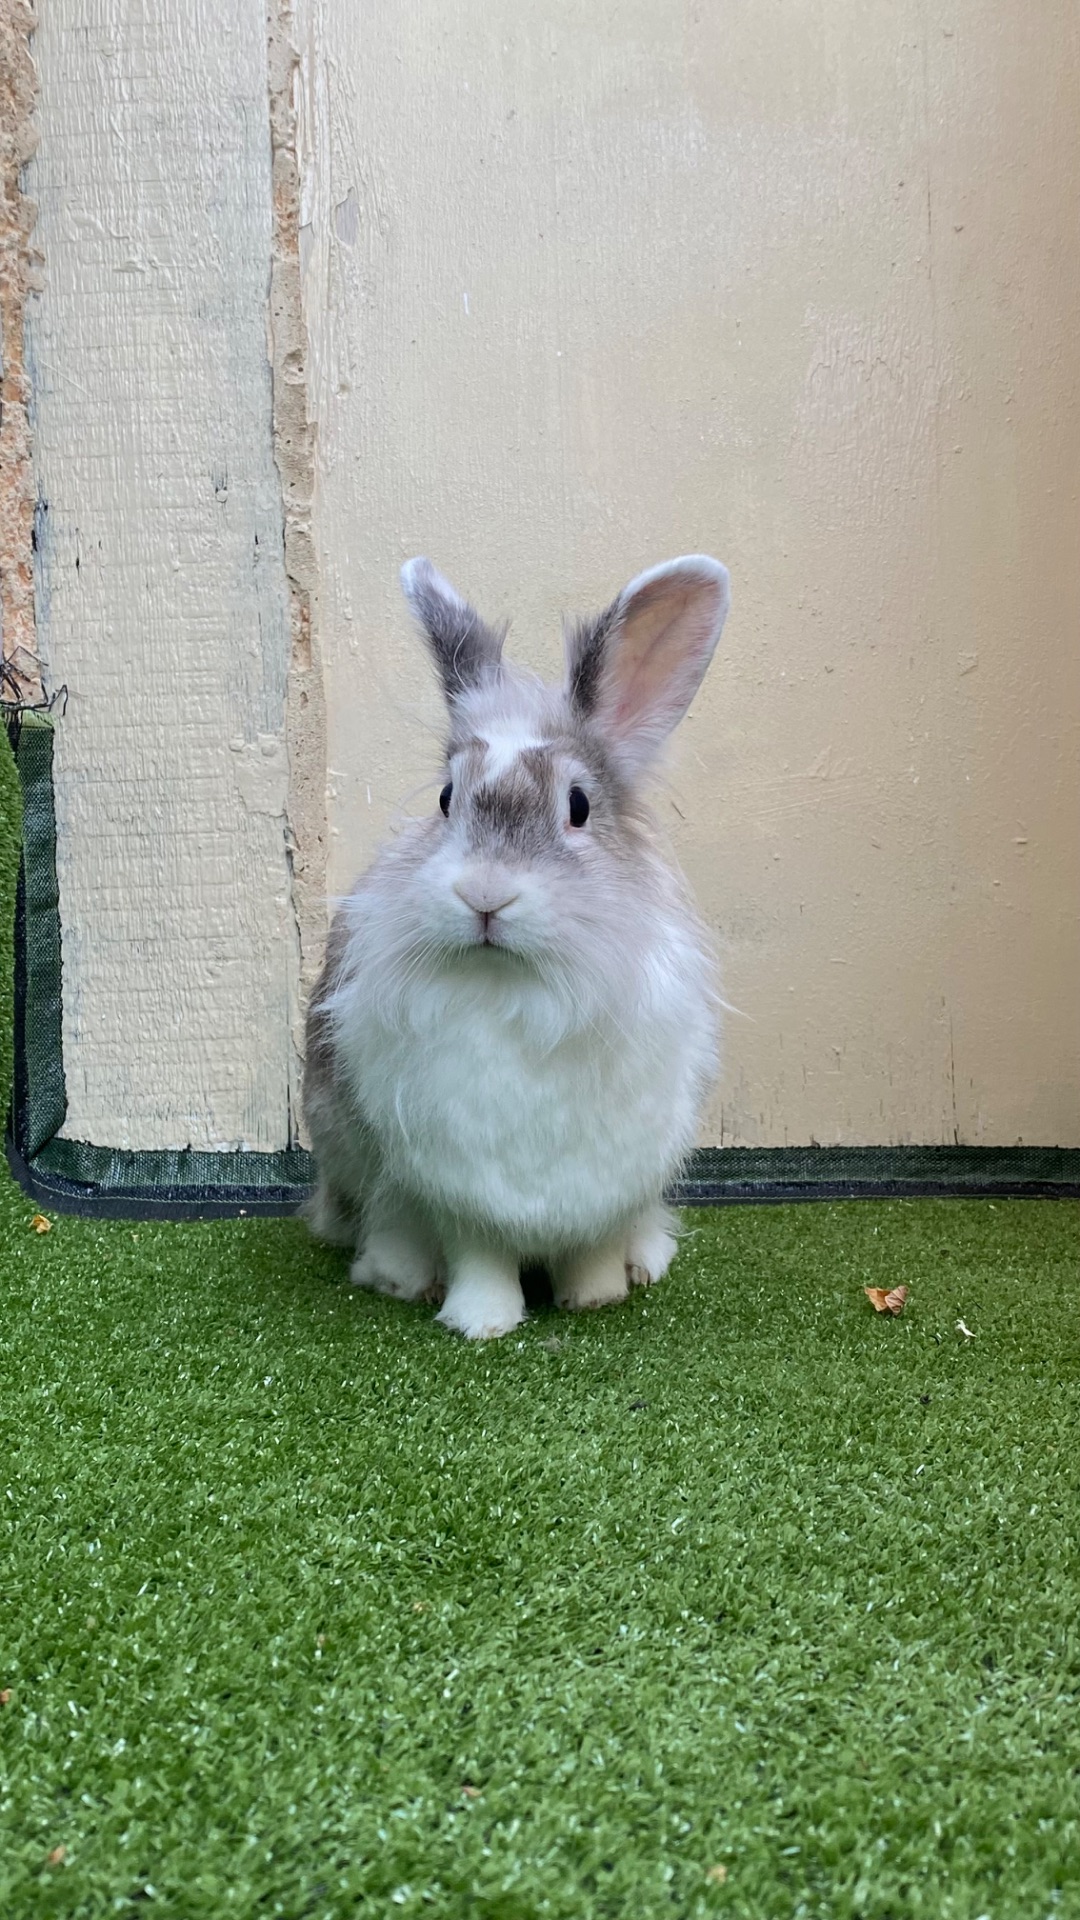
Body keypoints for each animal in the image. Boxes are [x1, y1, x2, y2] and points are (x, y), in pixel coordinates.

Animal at [303, 552, 730, 1340]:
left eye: (579, 806)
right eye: (447, 799)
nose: (484, 895)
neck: (515, 987)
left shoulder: (608, 1182)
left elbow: (593, 1247)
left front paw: (595, 1298)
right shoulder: (458, 1186)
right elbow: (481, 1257)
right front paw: (482, 1323)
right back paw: (399, 1275)